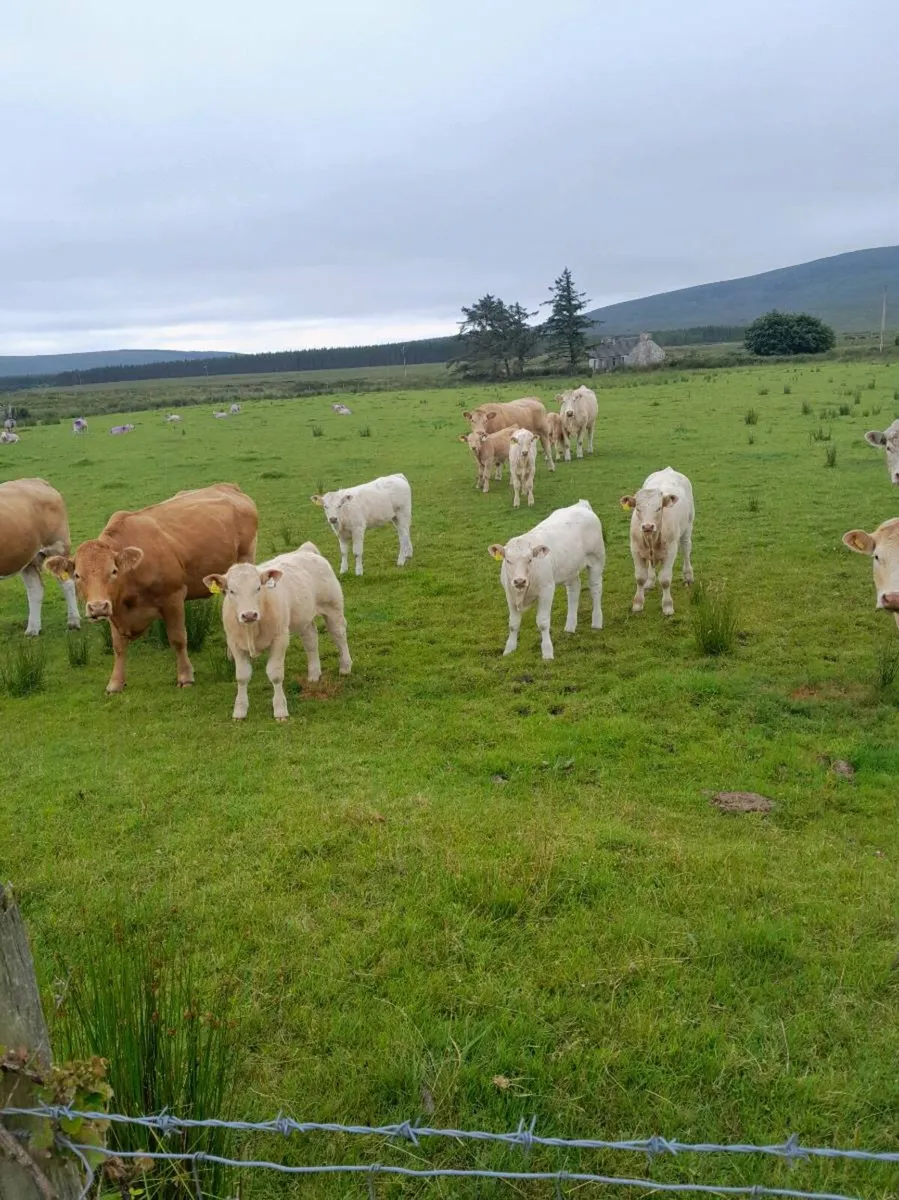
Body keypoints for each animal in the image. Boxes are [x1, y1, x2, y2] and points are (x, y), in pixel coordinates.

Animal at [0, 478, 81, 636]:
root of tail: (36, 480)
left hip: (57, 547)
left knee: (67, 584)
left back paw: (73, 622)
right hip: (28, 559)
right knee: (35, 589)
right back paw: (32, 629)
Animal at [45, 484, 258, 693]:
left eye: (113, 571)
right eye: (77, 575)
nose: (97, 607)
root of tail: (230, 487)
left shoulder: (173, 597)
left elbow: (178, 639)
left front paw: (185, 676)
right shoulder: (115, 609)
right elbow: (118, 646)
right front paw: (115, 682)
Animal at [205, 543, 352, 721]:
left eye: (258, 588)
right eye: (231, 591)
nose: (249, 615)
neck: (252, 629)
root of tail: (305, 550)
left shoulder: (280, 639)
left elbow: (275, 674)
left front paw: (280, 709)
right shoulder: (234, 643)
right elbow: (242, 676)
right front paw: (239, 710)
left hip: (333, 607)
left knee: (339, 635)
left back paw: (345, 667)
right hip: (303, 617)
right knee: (310, 640)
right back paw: (314, 674)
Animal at [488, 499, 605, 659]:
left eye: (530, 559)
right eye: (508, 560)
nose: (519, 581)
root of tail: (581, 505)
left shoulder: (547, 590)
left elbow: (542, 622)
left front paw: (547, 652)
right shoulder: (510, 593)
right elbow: (513, 623)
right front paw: (509, 649)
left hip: (597, 560)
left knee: (595, 589)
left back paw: (597, 622)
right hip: (570, 567)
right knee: (574, 590)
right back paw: (570, 626)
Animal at [620, 466, 695, 616]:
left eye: (659, 508)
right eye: (638, 508)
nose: (647, 526)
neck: (652, 538)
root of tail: (668, 469)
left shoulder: (671, 551)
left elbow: (665, 580)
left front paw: (667, 606)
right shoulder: (635, 549)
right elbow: (640, 578)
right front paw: (638, 603)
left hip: (688, 527)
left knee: (686, 550)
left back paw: (688, 576)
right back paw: (650, 581)